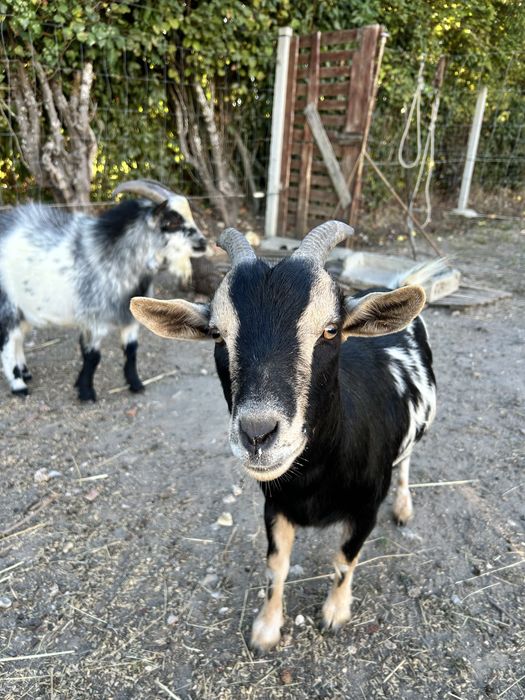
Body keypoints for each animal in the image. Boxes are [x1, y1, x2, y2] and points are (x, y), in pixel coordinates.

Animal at [0, 179, 207, 400]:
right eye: (171, 223)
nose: (203, 243)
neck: (112, 256)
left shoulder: (129, 318)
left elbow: (131, 351)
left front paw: (135, 384)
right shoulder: (93, 319)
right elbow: (92, 356)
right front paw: (86, 392)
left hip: (24, 309)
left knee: (18, 339)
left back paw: (25, 372)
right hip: (7, 304)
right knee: (7, 342)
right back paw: (19, 385)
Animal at [130, 221, 437, 651]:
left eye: (331, 330)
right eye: (217, 335)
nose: (257, 434)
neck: (316, 478)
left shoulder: (366, 507)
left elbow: (345, 559)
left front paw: (335, 613)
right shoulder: (275, 505)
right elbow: (277, 564)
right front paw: (266, 628)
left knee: (407, 461)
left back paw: (405, 508)